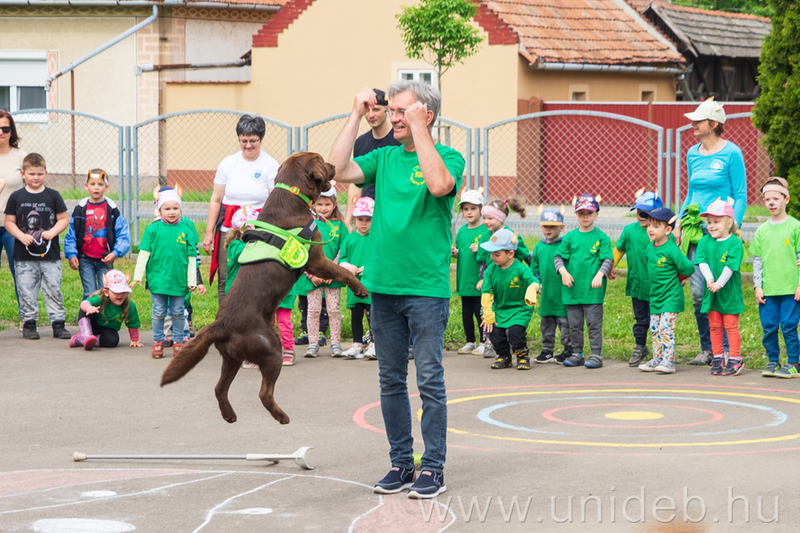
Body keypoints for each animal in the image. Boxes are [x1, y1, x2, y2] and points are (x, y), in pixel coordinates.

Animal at [160, 152, 368, 424]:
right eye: (321, 160)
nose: (335, 165)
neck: (291, 194)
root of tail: (220, 324)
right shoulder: (317, 260)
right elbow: (343, 272)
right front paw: (360, 288)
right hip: (271, 348)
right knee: (264, 393)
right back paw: (281, 416)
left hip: (232, 358)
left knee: (219, 388)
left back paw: (229, 415)